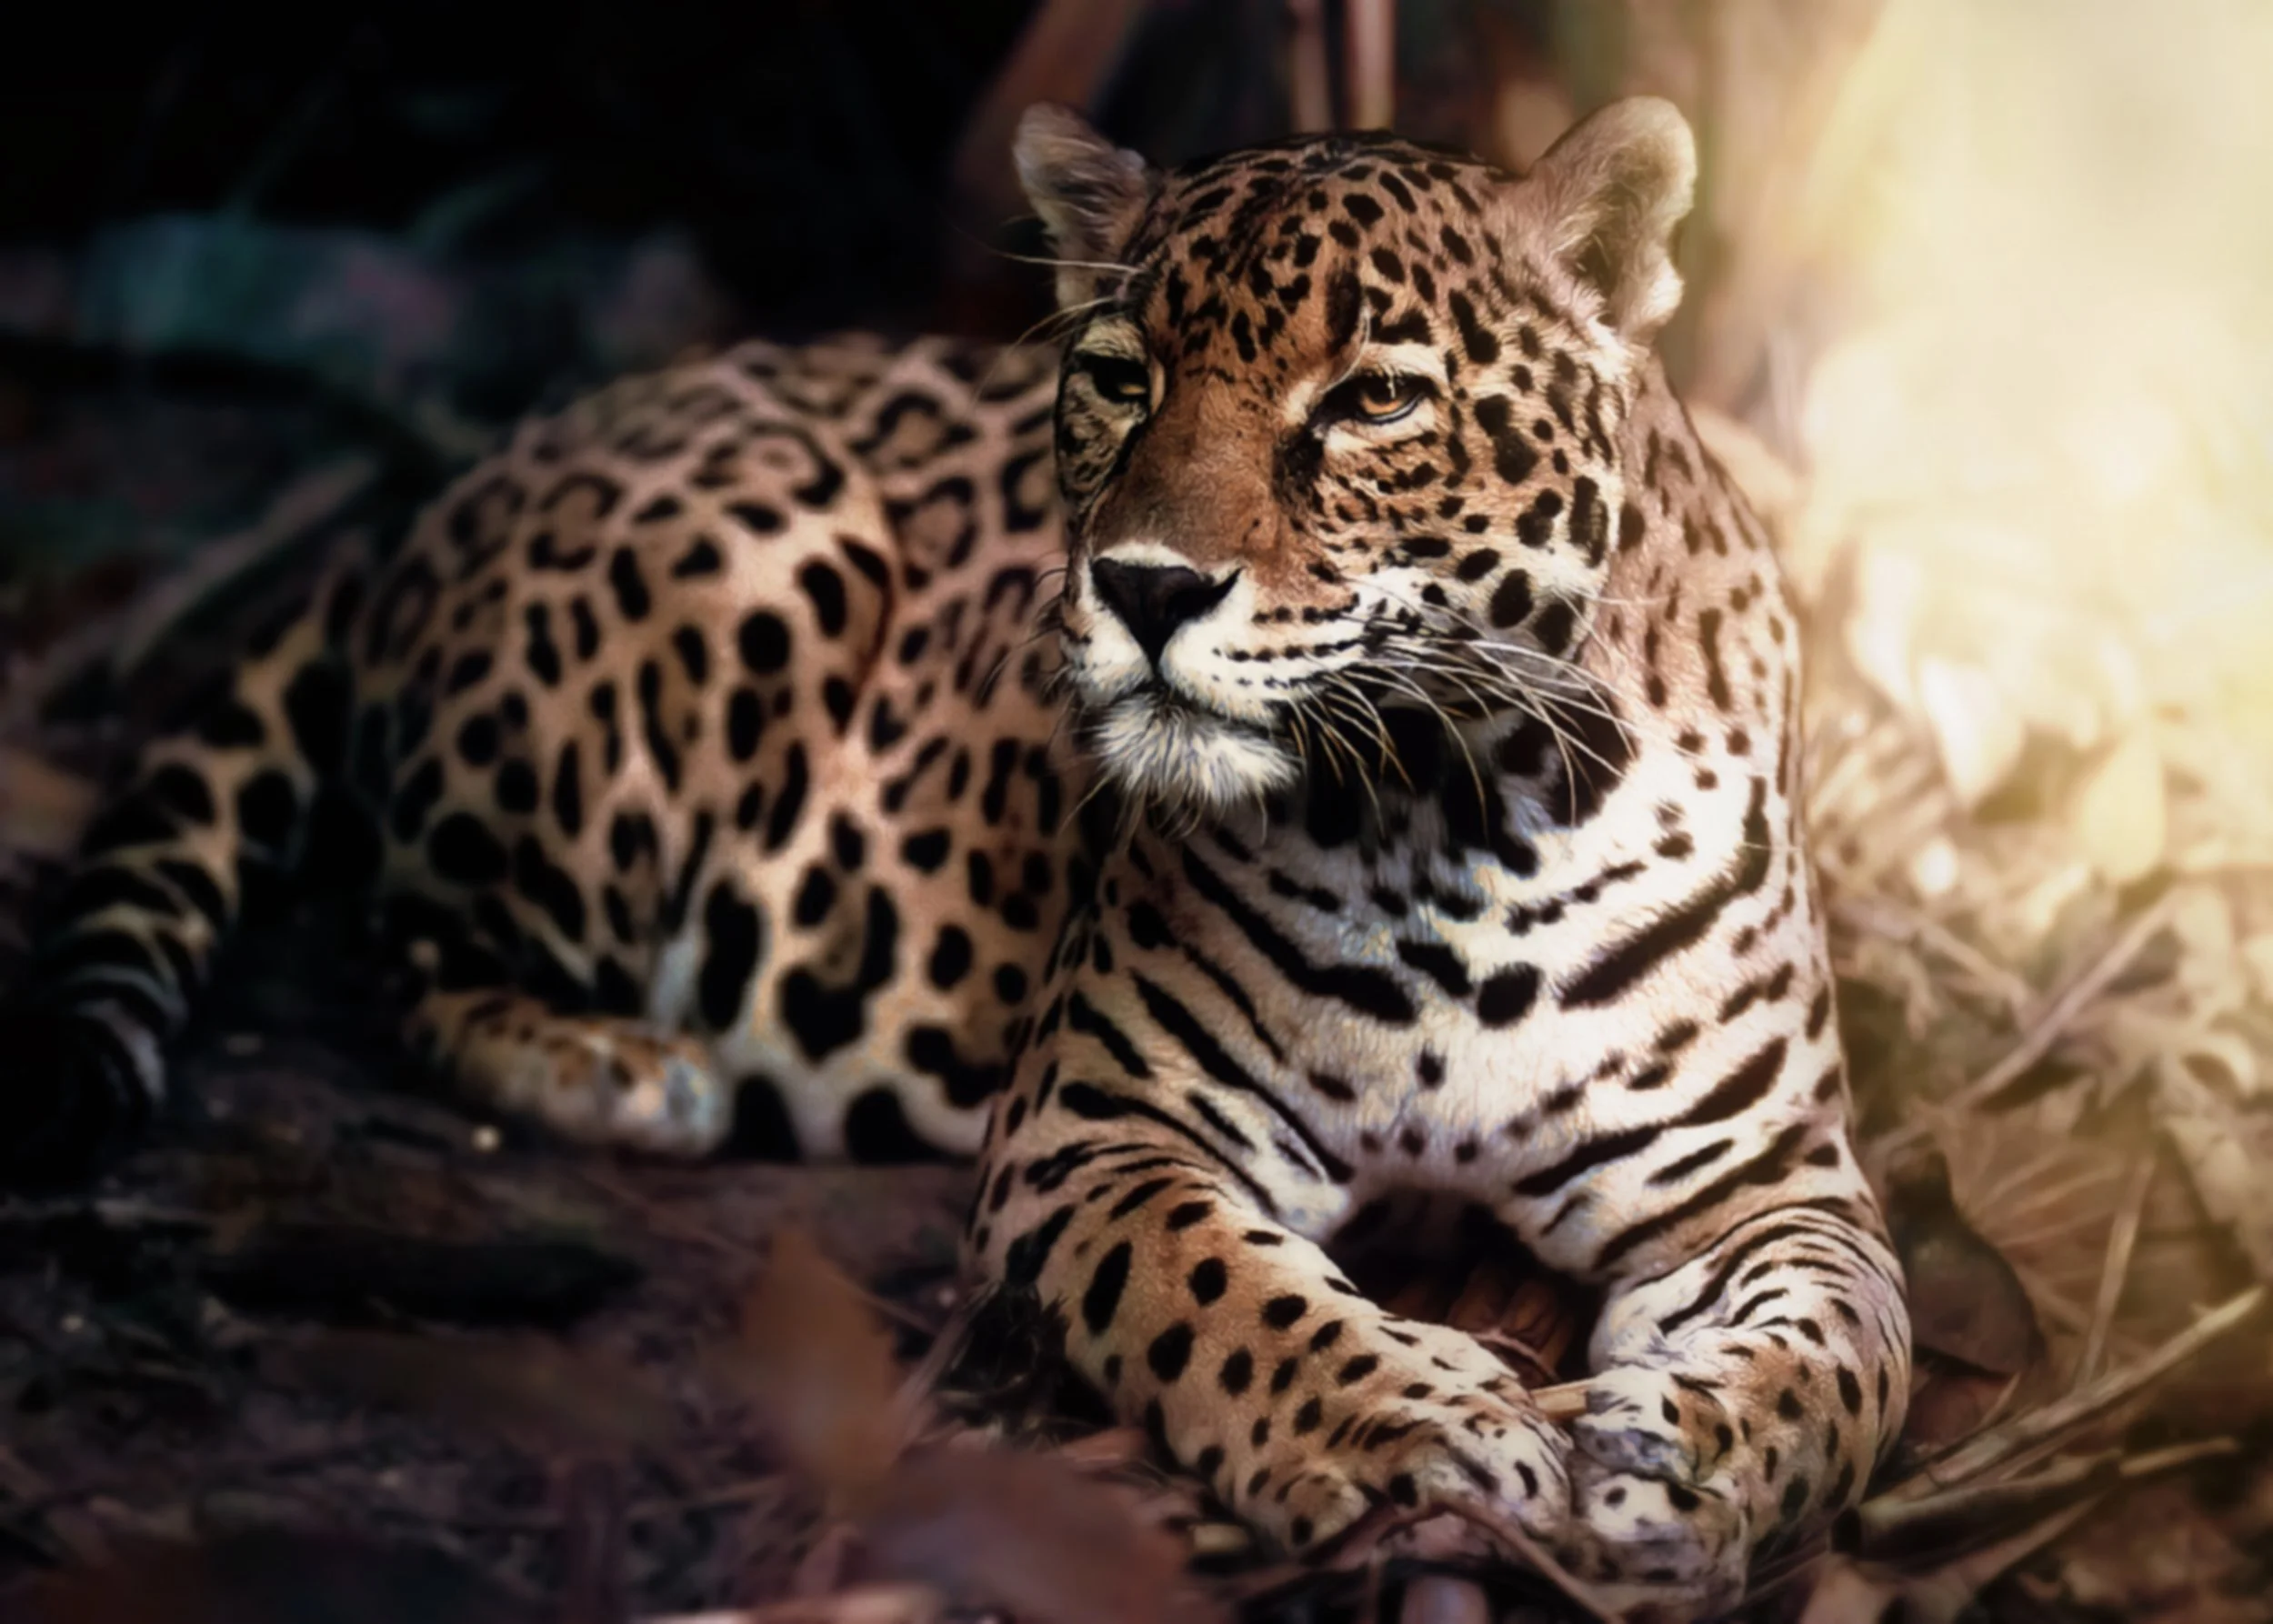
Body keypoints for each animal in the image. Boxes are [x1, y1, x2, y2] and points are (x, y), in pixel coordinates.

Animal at [1, 98, 1909, 1618]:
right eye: (1121, 378)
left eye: (1372, 401)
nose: (1144, 587)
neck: (1455, 822)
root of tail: (463, 475)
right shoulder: (1104, 1130)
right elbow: (1240, 1303)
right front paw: (1419, 1431)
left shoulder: (1770, 1184)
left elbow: (1844, 1360)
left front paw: (1677, 1461)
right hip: (747, 584)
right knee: (393, 932)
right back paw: (625, 1068)